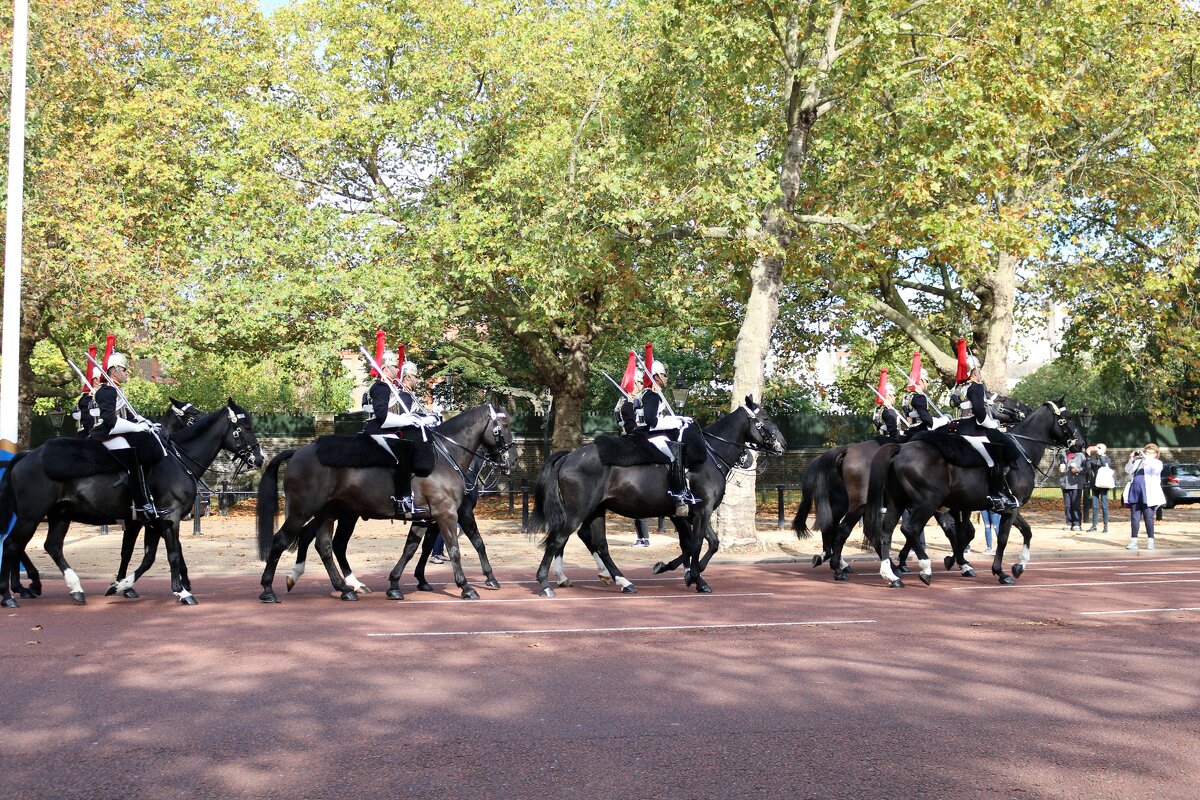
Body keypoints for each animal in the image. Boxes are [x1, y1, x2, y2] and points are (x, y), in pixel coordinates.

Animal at [0, 400, 264, 606]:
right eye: (245, 427)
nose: (259, 458)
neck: (176, 460)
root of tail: (27, 455)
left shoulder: (152, 521)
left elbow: (145, 557)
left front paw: (121, 585)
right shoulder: (168, 518)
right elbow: (171, 554)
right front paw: (182, 591)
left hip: (59, 514)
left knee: (50, 546)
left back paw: (72, 589)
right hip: (32, 515)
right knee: (13, 544)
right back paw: (11, 594)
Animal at [258, 402, 511, 604]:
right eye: (504, 426)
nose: (511, 462)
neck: (446, 457)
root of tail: (298, 451)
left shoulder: (425, 517)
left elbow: (411, 548)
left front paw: (397, 584)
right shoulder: (448, 514)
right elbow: (459, 548)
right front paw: (468, 586)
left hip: (328, 512)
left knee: (325, 546)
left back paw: (345, 588)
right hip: (304, 511)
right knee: (282, 540)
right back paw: (269, 589)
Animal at [530, 398, 782, 597]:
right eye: (766, 418)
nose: (783, 444)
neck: (710, 457)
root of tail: (569, 456)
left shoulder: (693, 512)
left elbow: (708, 543)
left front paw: (692, 576)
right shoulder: (701, 511)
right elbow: (696, 543)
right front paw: (684, 573)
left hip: (596, 510)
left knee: (597, 543)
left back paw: (621, 581)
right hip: (578, 511)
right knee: (559, 539)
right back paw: (546, 583)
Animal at [864, 400, 1080, 587]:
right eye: (1068, 417)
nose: (1079, 444)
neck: (1022, 451)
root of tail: (900, 449)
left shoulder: (1007, 506)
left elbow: (1024, 531)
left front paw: (1018, 566)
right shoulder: (1009, 508)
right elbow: (1001, 538)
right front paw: (1000, 572)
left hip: (899, 503)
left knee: (886, 532)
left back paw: (891, 574)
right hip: (927, 503)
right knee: (909, 529)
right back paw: (924, 568)